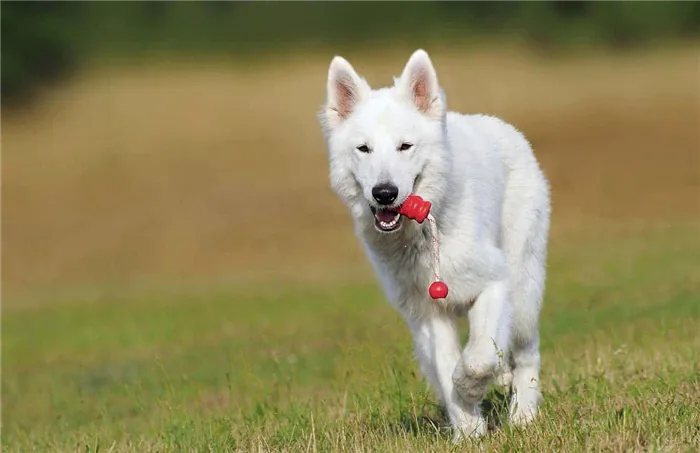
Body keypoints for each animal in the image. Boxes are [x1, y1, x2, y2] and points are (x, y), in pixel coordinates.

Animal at [318, 50, 552, 442]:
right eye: (364, 149)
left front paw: (470, 389)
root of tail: (505, 129)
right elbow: (445, 366)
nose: (384, 193)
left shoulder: (495, 283)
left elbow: (477, 359)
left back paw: (523, 417)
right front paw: (468, 431)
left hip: (522, 290)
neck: (428, 230)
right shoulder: (427, 313)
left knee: (526, 352)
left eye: (405, 146)